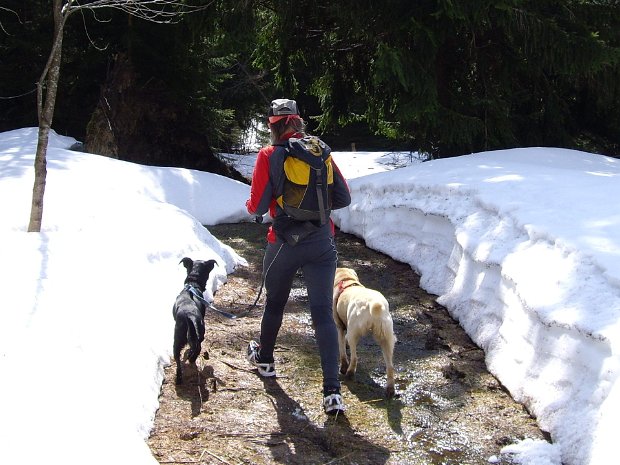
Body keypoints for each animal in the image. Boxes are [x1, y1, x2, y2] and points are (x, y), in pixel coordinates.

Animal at [334, 266, 398, 396]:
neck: (346, 280)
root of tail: (373, 304)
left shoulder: (340, 327)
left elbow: (342, 350)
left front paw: (343, 367)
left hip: (353, 332)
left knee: (354, 357)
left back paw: (349, 373)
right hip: (387, 339)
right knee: (390, 366)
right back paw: (390, 389)